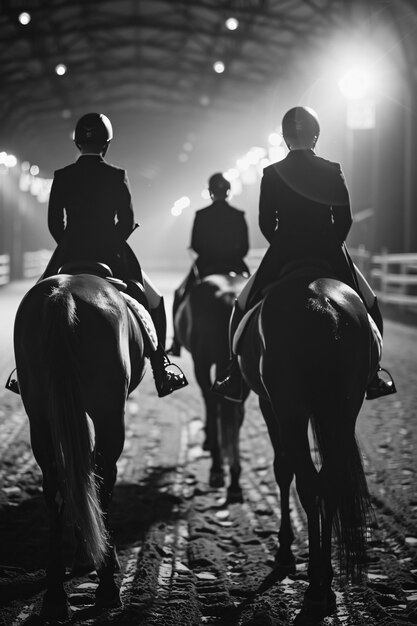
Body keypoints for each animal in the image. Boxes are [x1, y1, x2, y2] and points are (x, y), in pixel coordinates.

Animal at [13, 270, 146, 620]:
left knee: (56, 486)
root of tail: (65, 295)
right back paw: (107, 586)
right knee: (101, 478)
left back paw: (56, 596)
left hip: (40, 414)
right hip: (109, 413)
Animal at [236, 260, 376, 620]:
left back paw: (314, 589)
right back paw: (324, 585)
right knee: (331, 481)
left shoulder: (269, 404)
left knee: (309, 483)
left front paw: (285, 551)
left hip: (289, 408)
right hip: (346, 406)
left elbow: (283, 469)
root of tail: (319, 301)